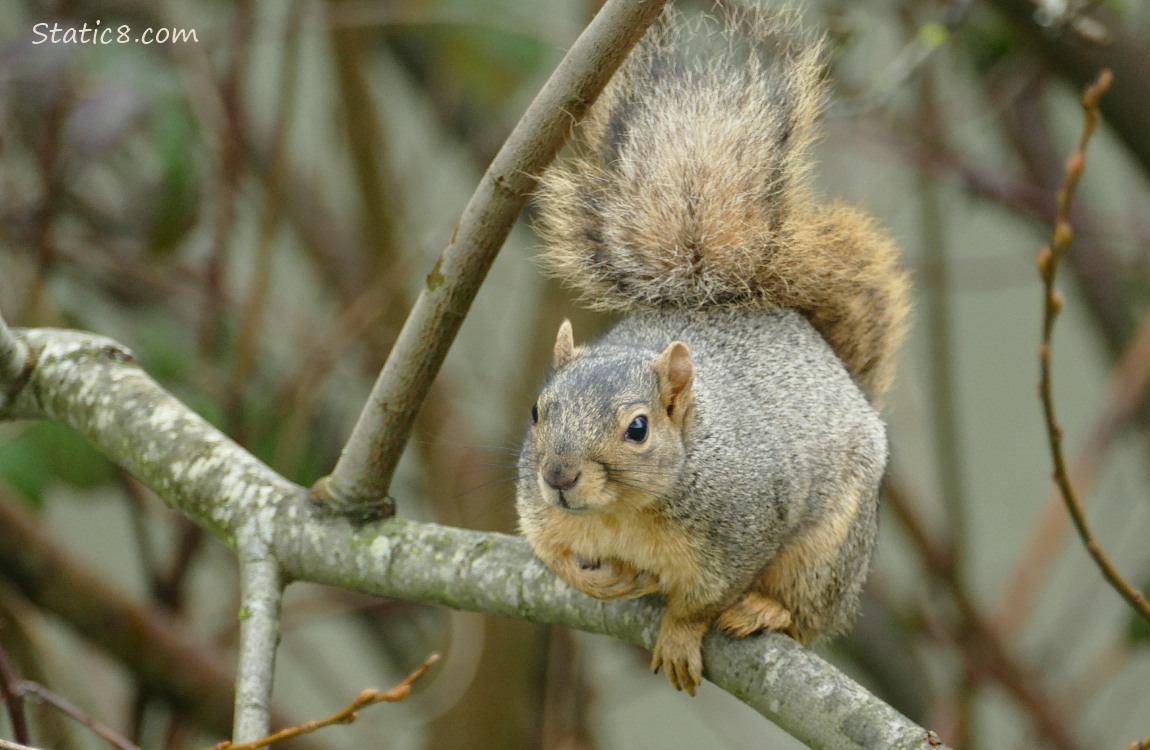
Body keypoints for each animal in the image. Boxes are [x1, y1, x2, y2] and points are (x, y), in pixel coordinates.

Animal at [516, 6, 910, 696]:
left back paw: (767, 611)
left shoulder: (743, 525)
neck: (621, 513)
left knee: (807, 614)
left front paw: (679, 633)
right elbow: (549, 552)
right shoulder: (533, 507)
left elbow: (704, 598)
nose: (558, 476)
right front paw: (594, 578)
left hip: (829, 550)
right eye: (538, 412)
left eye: (638, 429)